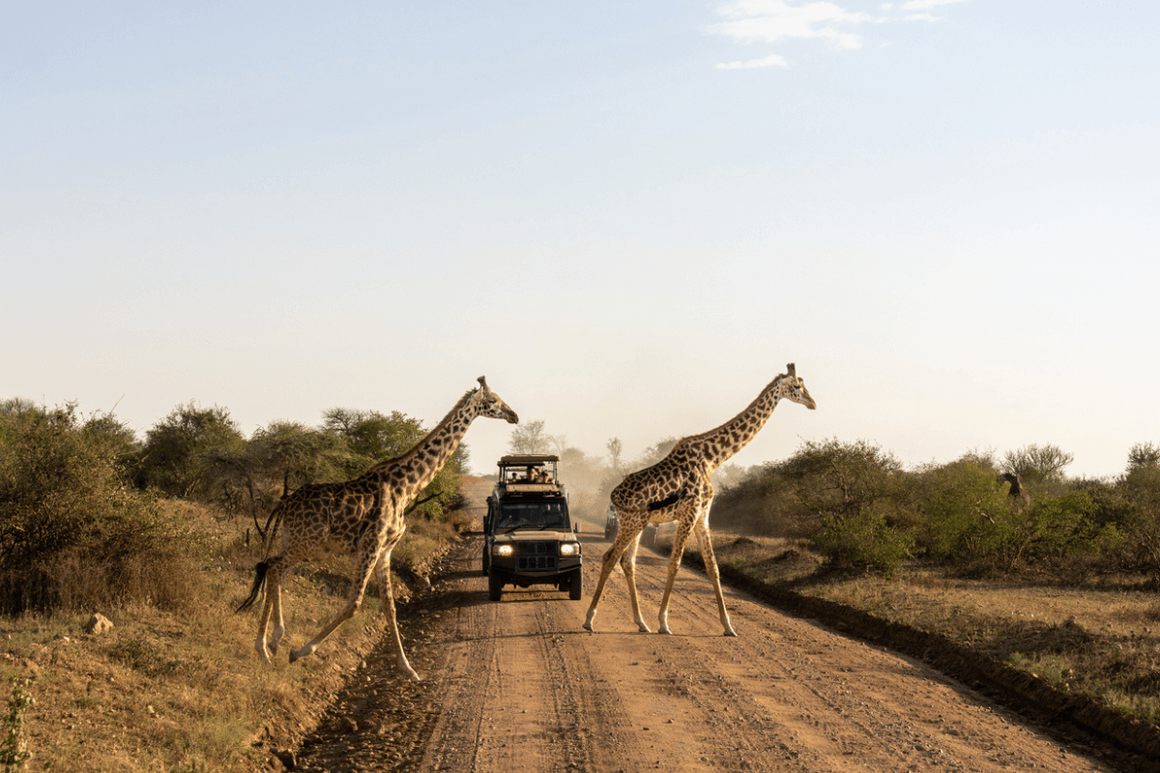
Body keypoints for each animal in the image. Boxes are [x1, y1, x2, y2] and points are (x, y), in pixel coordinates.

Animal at [237, 376, 518, 681]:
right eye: (492, 401)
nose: (514, 416)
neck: (408, 485)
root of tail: (285, 502)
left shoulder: (386, 549)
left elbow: (390, 606)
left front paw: (409, 668)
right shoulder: (370, 544)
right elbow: (354, 603)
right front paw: (300, 652)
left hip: (294, 539)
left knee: (273, 569)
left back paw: (269, 644)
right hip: (307, 541)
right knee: (274, 567)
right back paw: (270, 644)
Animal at [583, 364, 816, 637]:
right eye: (798, 386)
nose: (813, 403)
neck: (713, 458)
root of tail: (613, 495)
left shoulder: (703, 514)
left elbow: (713, 567)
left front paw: (728, 626)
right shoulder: (690, 511)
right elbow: (675, 563)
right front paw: (664, 623)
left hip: (638, 523)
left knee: (628, 562)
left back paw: (641, 623)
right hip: (632, 521)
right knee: (610, 557)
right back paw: (590, 620)